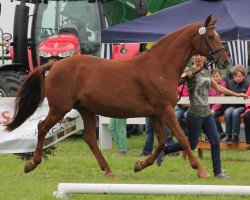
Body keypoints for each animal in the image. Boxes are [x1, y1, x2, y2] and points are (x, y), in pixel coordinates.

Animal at [5, 16, 230, 178]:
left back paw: (108, 170)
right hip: (60, 108)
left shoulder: (156, 113)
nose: (225, 61)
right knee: (42, 127)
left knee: (89, 138)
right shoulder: (165, 111)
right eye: (211, 37)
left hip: (85, 110)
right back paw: (31, 164)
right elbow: (182, 138)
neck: (160, 66)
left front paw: (139, 165)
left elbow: (161, 142)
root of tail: (54, 64)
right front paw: (201, 170)